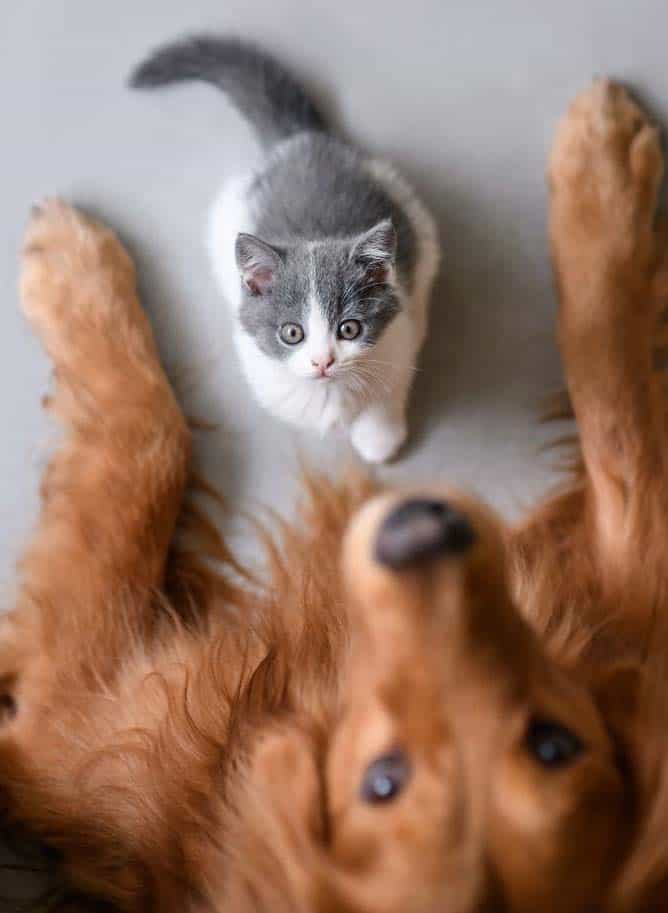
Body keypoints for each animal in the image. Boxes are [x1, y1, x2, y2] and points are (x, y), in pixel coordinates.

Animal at [132, 36, 440, 464]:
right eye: (292, 333)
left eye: (349, 328)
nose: (323, 361)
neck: (330, 390)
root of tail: (302, 140)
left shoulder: (398, 340)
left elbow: (389, 391)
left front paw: (378, 438)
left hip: (415, 218)